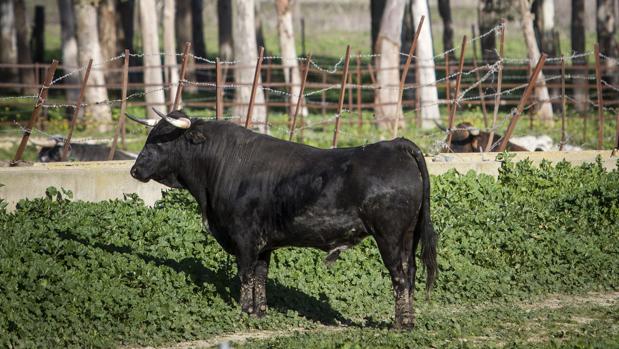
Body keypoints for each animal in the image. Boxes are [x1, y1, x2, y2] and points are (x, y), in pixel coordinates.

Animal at [128, 110, 438, 328]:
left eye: (160, 140)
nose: (134, 169)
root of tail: (396, 144)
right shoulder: (263, 244)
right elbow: (261, 276)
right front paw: (259, 312)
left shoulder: (244, 238)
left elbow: (245, 274)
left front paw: (244, 311)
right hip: (408, 236)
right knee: (410, 273)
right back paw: (409, 321)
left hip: (389, 236)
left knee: (399, 276)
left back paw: (400, 324)